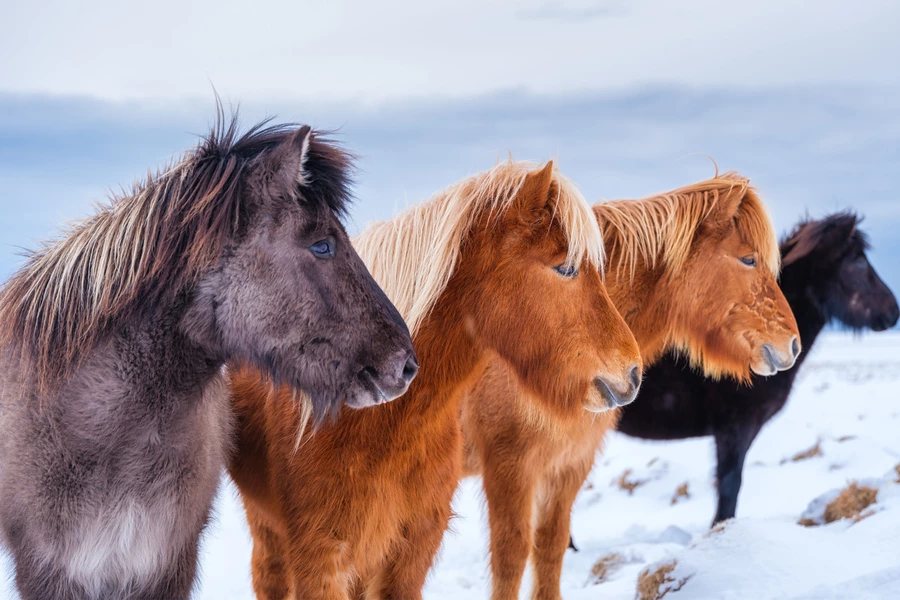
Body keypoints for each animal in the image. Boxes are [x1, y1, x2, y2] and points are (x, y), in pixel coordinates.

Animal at [461, 172, 801, 600]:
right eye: (748, 259)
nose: (792, 343)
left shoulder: (569, 465)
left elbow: (550, 548)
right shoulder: (510, 467)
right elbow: (510, 556)